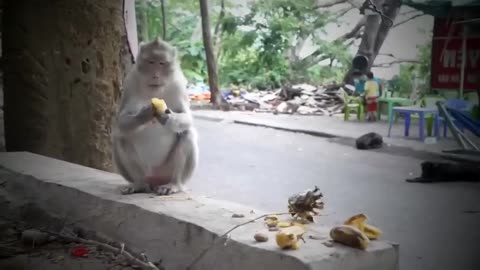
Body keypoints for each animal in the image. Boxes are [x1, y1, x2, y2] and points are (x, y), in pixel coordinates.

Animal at [112, 36, 199, 196]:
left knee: (187, 133)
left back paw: (174, 184)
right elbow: (121, 120)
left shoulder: (178, 83)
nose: (155, 75)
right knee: (121, 136)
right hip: (145, 172)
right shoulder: (130, 80)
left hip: (167, 171)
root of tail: (155, 180)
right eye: (151, 62)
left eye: (162, 63)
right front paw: (144, 114)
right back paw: (139, 184)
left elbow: (187, 117)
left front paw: (167, 117)